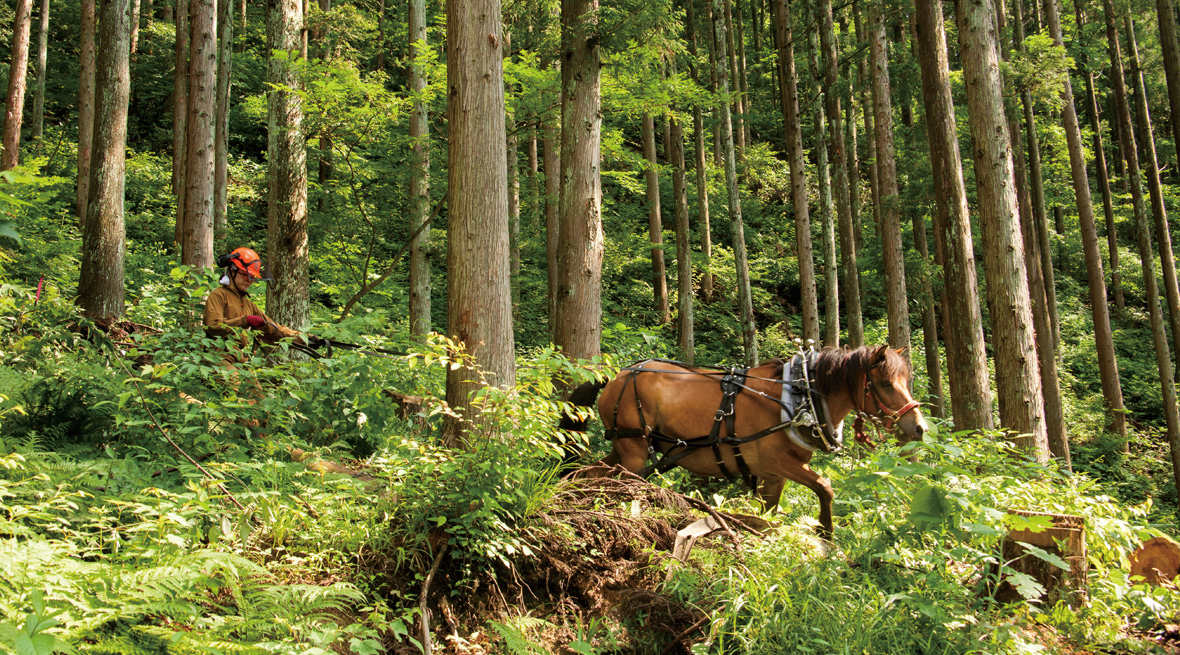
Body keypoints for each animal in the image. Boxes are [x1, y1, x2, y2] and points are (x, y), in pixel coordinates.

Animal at [561, 344, 929, 538]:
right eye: (884, 384)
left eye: (904, 380)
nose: (919, 428)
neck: (799, 396)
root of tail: (616, 376)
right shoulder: (780, 462)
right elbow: (826, 487)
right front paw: (826, 532)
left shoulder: (774, 475)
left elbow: (770, 512)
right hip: (635, 453)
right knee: (610, 481)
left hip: (625, 450)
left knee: (590, 473)